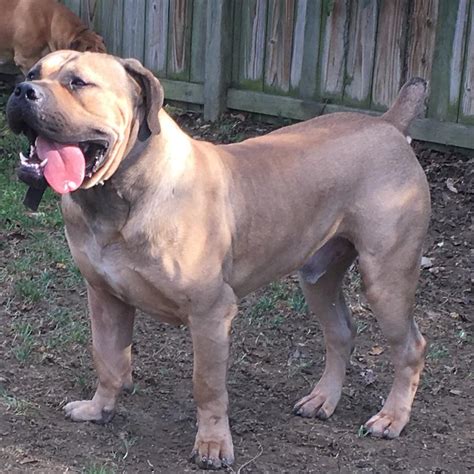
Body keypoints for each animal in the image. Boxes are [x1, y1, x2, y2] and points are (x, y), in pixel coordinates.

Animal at [5, 52, 432, 470]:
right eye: (33, 73)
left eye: (78, 82)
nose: (22, 89)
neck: (119, 199)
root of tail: (388, 124)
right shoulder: (104, 296)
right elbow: (107, 358)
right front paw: (99, 409)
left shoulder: (210, 312)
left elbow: (207, 385)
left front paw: (212, 444)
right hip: (317, 278)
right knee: (341, 332)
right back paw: (322, 399)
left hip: (386, 279)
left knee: (411, 346)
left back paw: (391, 418)